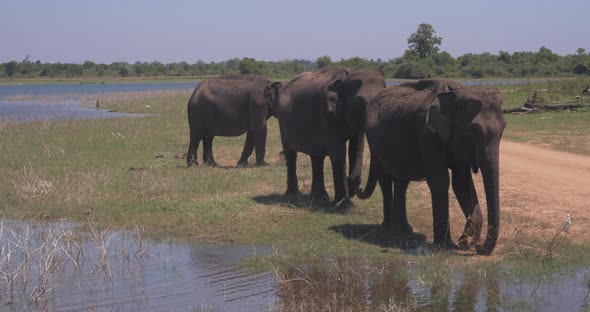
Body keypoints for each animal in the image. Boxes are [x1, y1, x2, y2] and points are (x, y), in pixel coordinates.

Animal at [278, 67, 388, 208]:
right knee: (291, 154)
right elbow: (338, 152)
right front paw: (343, 204)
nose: (360, 188)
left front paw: (351, 188)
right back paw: (293, 195)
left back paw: (320, 197)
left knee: (317, 157)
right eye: (359, 102)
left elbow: (356, 148)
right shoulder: (328, 113)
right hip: (283, 121)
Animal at [358, 79, 506, 255]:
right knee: (385, 179)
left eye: (504, 128)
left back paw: (404, 229)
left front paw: (464, 242)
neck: (457, 93)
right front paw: (447, 246)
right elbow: (440, 181)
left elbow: (461, 183)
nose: (478, 248)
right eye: (473, 131)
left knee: (402, 181)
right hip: (374, 142)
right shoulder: (427, 133)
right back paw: (388, 228)